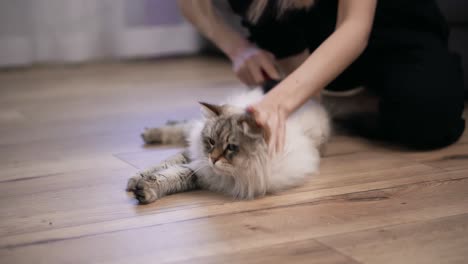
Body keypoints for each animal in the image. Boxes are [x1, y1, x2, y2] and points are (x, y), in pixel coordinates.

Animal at [126, 89, 330, 204]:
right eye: (211, 142)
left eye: (231, 147)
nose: (213, 159)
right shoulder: (198, 160)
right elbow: (162, 166)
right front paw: (136, 179)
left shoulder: (202, 171)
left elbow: (170, 175)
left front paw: (144, 190)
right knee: (183, 126)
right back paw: (150, 133)